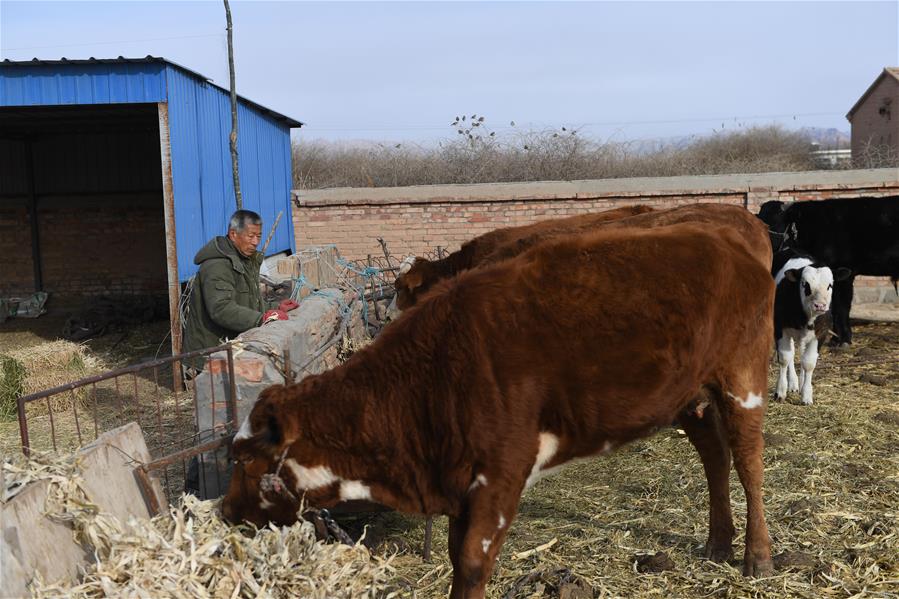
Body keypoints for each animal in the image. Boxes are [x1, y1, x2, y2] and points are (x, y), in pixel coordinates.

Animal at [223, 221, 772, 599]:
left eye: (244, 457)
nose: (226, 511)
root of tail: (725, 237)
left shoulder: (502, 474)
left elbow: (471, 563)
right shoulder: (459, 485)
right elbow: (454, 559)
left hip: (742, 378)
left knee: (748, 462)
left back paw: (757, 555)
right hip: (689, 397)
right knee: (715, 456)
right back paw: (718, 542)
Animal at [772, 251, 852, 406]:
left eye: (830, 285)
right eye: (805, 284)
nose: (820, 305)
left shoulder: (821, 333)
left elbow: (808, 363)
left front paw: (807, 395)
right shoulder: (780, 328)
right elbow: (785, 358)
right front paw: (780, 392)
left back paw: (800, 382)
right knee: (791, 354)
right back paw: (793, 383)